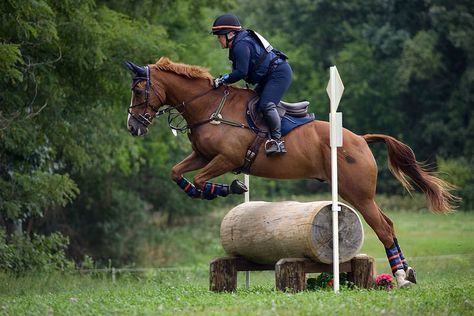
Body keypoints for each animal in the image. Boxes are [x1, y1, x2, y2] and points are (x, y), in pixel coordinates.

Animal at [124, 58, 458, 288]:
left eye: (139, 90)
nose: (133, 127)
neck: (209, 107)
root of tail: (361, 139)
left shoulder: (225, 158)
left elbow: (200, 179)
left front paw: (228, 188)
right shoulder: (203, 155)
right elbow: (177, 174)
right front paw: (210, 191)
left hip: (358, 194)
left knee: (384, 228)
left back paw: (400, 277)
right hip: (356, 194)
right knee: (387, 224)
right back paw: (408, 273)